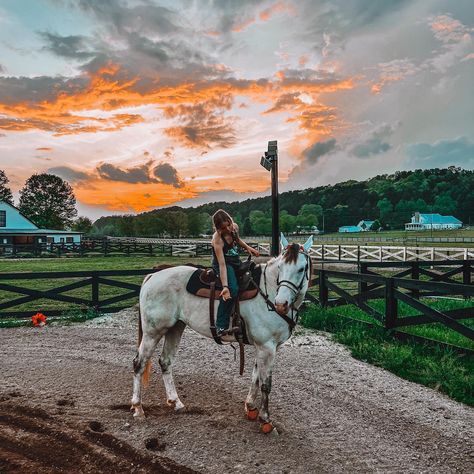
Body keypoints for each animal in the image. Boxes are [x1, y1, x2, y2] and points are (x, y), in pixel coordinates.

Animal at [131, 233, 312, 434]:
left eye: (302, 268)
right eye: (280, 267)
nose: (281, 304)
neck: (268, 293)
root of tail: (153, 275)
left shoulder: (264, 347)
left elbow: (255, 377)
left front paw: (251, 407)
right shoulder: (267, 347)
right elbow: (266, 383)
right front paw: (265, 420)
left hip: (175, 327)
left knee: (165, 361)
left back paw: (176, 402)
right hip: (153, 332)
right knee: (139, 363)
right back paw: (138, 408)